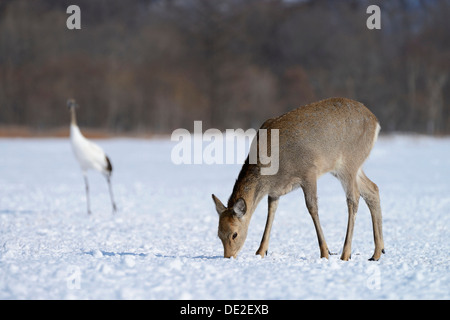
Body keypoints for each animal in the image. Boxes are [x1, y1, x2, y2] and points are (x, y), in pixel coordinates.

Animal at [211, 97, 384, 260]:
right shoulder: (275, 191)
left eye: (234, 234)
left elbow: (312, 208)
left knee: (353, 198)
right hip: (346, 168)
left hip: (349, 162)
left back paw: (346, 254)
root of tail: (375, 121)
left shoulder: (308, 171)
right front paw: (260, 252)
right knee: (373, 189)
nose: (228, 256)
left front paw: (325, 252)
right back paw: (377, 252)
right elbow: (271, 213)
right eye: (218, 234)